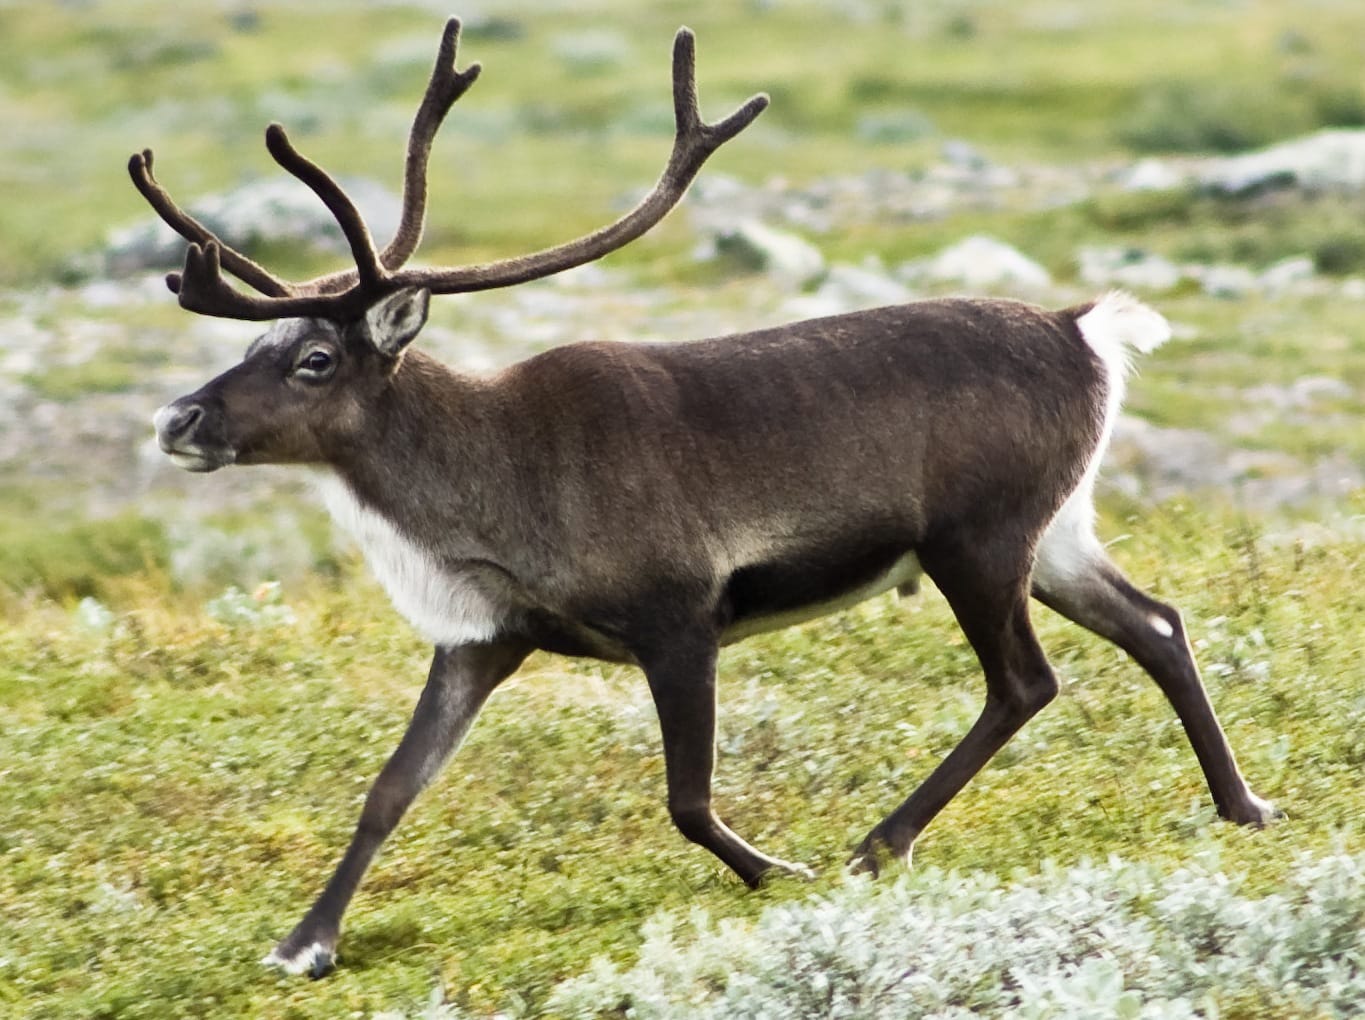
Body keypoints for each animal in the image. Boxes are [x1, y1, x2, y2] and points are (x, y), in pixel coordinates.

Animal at [135, 18, 1279, 978]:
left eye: (315, 359)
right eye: (260, 346)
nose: (178, 419)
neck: (485, 489)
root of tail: (1085, 329)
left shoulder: (679, 615)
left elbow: (686, 798)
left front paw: (780, 872)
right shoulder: (485, 637)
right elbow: (388, 788)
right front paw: (304, 943)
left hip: (978, 538)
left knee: (1025, 682)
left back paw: (878, 844)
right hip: (1055, 534)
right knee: (1156, 623)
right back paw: (1241, 805)